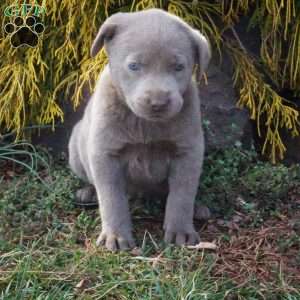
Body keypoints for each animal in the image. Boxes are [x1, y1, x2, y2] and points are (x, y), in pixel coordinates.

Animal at [69, 8, 212, 251]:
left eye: (178, 67)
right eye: (134, 66)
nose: (158, 102)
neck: (145, 124)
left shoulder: (188, 152)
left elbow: (182, 194)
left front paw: (181, 231)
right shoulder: (105, 153)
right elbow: (111, 198)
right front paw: (116, 236)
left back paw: (198, 209)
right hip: (76, 148)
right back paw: (87, 192)